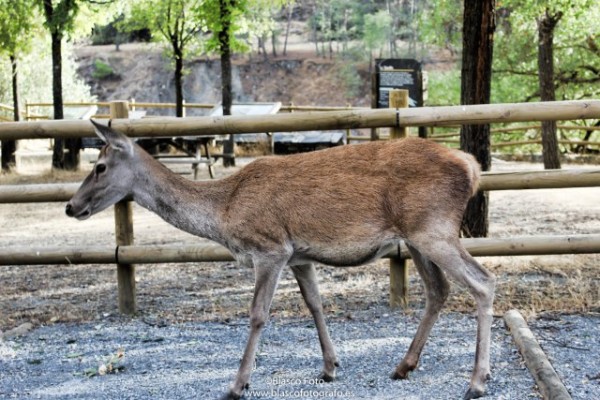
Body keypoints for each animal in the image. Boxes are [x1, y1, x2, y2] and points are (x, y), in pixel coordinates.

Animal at [67, 121, 496, 400]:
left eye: (100, 166)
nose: (71, 206)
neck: (224, 212)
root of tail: (472, 168)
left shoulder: (269, 248)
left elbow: (258, 313)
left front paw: (237, 384)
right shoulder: (299, 255)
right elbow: (315, 304)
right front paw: (329, 367)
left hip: (433, 229)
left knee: (482, 281)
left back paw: (476, 382)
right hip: (417, 237)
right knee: (438, 290)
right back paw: (404, 365)